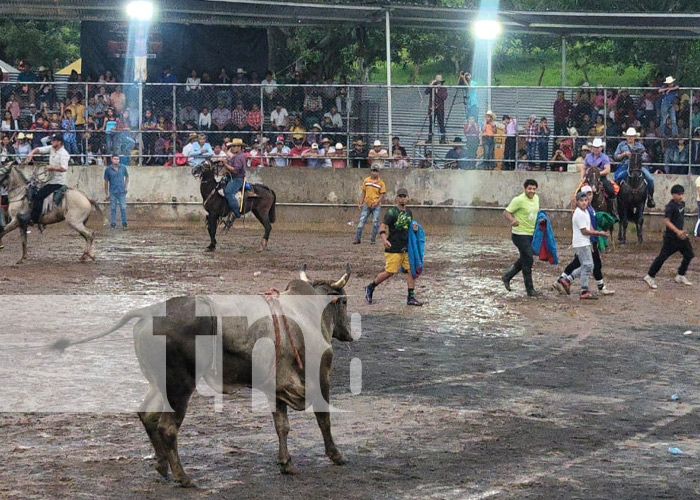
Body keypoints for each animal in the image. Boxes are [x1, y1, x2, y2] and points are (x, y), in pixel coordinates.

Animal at [51, 266, 352, 484]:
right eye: (345, 302)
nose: (349, 334)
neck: (307, 312)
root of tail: (149, 311)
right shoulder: (320, 377)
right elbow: (323, 419)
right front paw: (335, 454)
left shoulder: (277, 386)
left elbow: (282, 426)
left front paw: (286, 463)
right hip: (180, 386)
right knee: (167, 427)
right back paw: (183, 477)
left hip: (159, 384)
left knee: (147, 415)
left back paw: (162, 466)